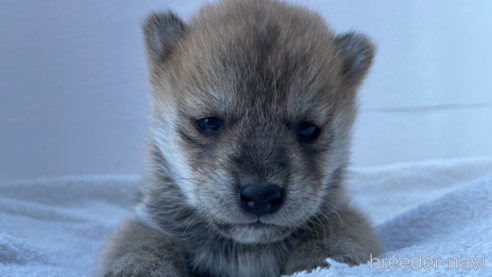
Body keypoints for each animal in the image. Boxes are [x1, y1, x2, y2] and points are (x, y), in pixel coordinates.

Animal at [95, 0, 380, 274]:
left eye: (309, 129)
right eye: (208, 122)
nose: (261, 195)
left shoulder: (343, 216)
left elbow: (333, 242)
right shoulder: (149, 222)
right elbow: (143, 247)